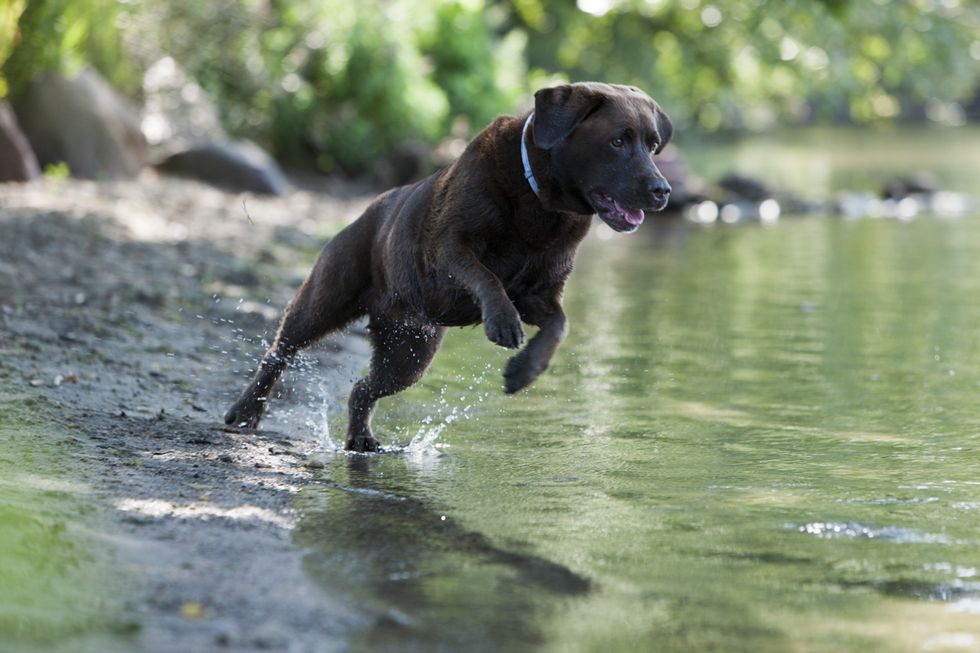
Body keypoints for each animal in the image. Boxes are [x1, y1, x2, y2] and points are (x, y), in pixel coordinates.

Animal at [223, 81, 668, 450]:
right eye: (618, 140)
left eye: (653, 144)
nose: (662, 189)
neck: (540, 202)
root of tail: (364, 212)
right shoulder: (448, 248)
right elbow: (485, 275)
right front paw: (502, 322)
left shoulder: (541, 293)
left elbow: (560, 326)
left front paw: (524, 371)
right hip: (326, 298)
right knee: (280, 350)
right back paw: (246, 411)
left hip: (409, 353)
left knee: (364, 388)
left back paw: (360, 439)